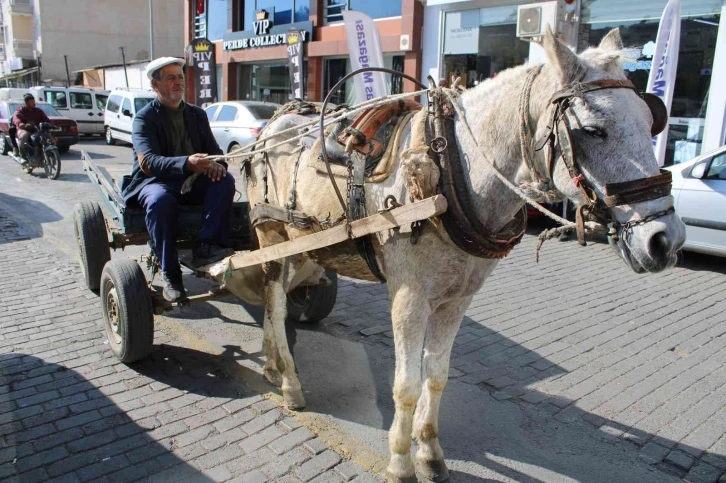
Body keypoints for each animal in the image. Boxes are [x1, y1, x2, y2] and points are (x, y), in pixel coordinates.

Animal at [243, 28, 688, 482]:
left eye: (651, 120)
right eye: (594, 130)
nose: (665, 239)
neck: (451, 170)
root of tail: (273, 124)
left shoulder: (456, 300)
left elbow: (437, 376)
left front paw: (429, 453)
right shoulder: (409, 298)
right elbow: (406, 385)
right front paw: (400, 461)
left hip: (304, 244)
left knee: (276, 299)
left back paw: (272, 363)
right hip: (272, 234)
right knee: (275, 301)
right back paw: (289, 382)